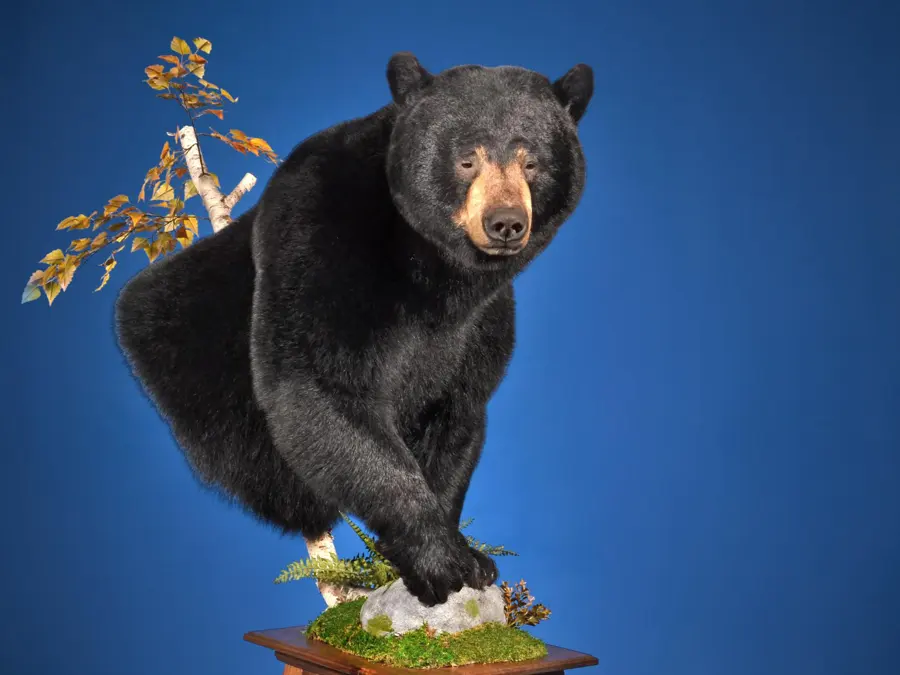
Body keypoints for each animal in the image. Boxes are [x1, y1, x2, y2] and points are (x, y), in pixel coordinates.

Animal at [114, 52, 593, 607]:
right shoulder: (320, 229)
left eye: (532, 161)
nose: (505, 222)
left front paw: (462, 554)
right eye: (466, 159)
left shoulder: (481, 321)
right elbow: (319, 384)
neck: (430, 270)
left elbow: (456, 411)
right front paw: (440, 559)